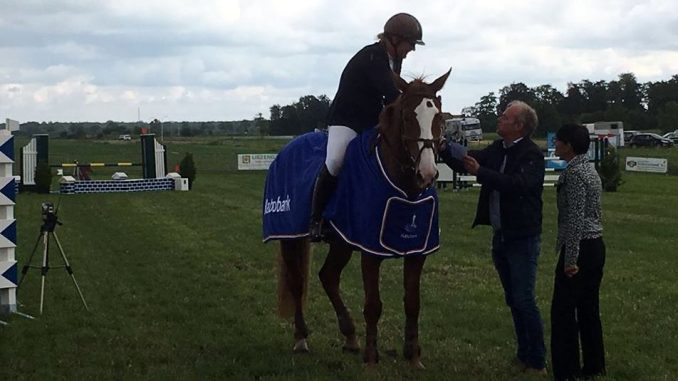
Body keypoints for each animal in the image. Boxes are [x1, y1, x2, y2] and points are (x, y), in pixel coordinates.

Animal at [270, 70, 452, 366]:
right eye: (406, 118)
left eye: (439, 118)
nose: (427, 173)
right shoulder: (370, 250)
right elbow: (373, 304)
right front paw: (371, 357)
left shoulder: (417, 251)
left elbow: (413, 302)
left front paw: (413, 355)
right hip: (290, 237)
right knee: (297, 283)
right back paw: (301, 338)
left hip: (341, 242)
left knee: (328, 276)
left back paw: (350, 336)